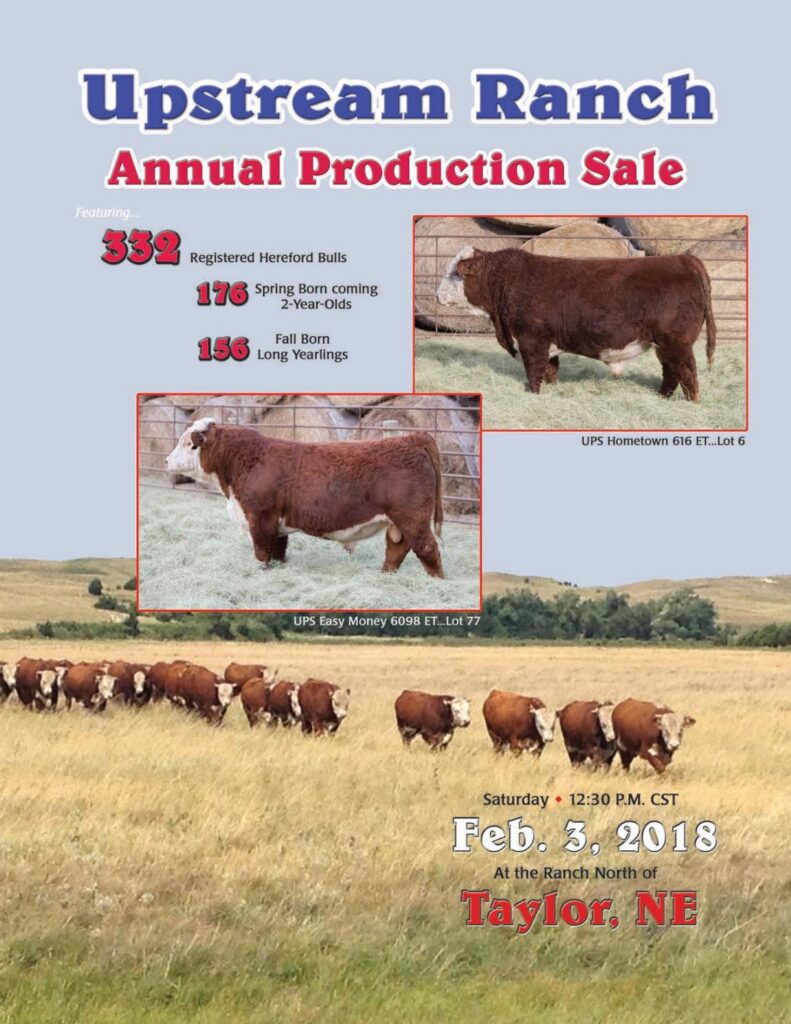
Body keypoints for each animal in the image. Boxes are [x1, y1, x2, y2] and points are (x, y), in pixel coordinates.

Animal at [165, 419, 445, 577]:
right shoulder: (276, 525)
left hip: (413, 519)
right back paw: (386, 576)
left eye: (189, 444)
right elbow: (278, 553)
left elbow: (262, 554)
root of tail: (412, 437)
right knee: (396, 550)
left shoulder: (260, 519)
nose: (166, 460)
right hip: (399, 523)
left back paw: (436, 581)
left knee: (427, 549)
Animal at [436, 246, 716, 401]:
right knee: (670, 373)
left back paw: (691, 403)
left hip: (677, 342)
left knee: (687, 374)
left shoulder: (531, 340)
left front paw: (533, 394)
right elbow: (550, 370)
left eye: (456, 273)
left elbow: (533, 372)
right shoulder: (546, 343)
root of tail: (684, 259)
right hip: (664, 345)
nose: (436, 295)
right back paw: (661, 398)